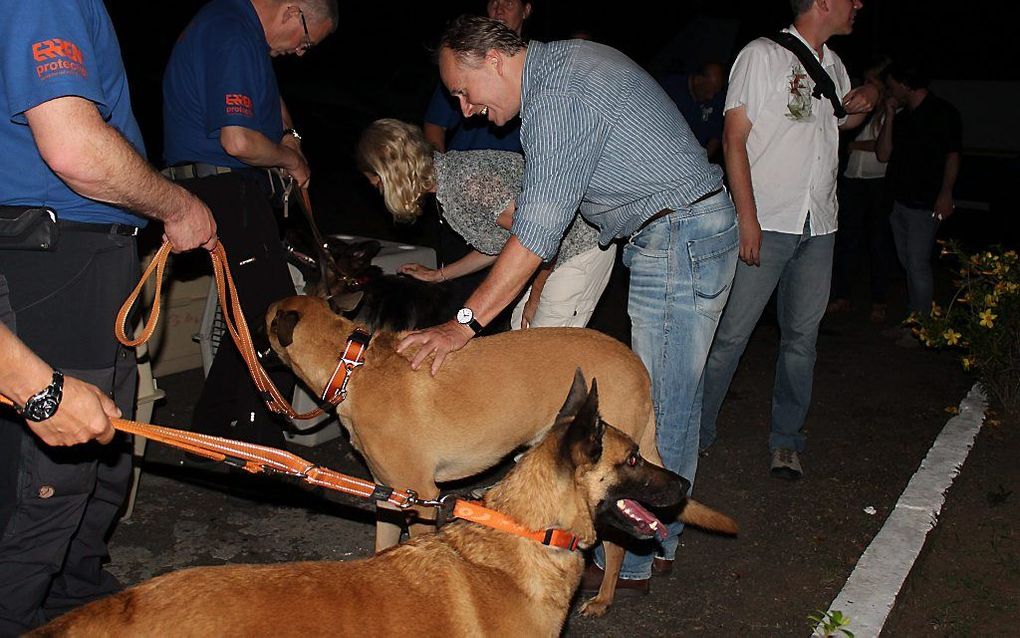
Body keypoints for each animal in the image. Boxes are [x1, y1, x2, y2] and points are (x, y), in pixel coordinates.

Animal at [267, 293, 738, 616]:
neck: (352, 364)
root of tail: (637, 363)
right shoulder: (390, 494)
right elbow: (383, 546)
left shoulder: (420, 497)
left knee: (619, 543)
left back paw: (604, 599)